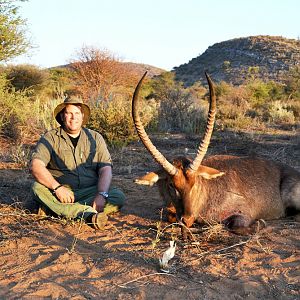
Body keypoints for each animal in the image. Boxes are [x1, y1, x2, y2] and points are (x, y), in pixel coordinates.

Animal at [133, 71, 300, 233]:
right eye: (171, 185)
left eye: (194, 182)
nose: (187, 219)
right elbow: (170, 215)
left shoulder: (243, 212)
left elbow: (237, 226)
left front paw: (261, 224)